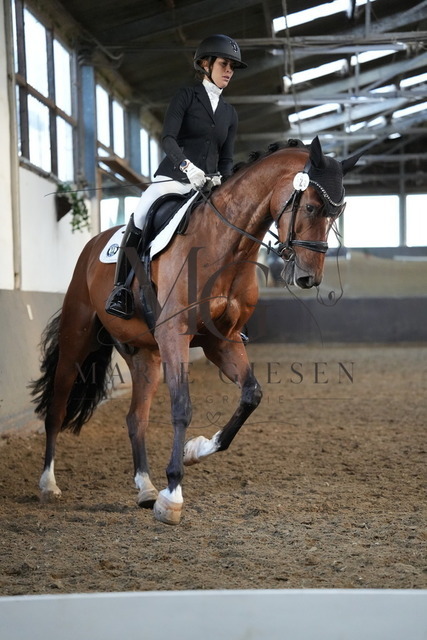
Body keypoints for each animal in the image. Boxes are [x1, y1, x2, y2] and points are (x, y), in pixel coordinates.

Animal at [30, 136, 360, 525]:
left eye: (336, 214)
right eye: (310, 206)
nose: (310, 277)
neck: (225, 245)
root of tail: (94, 242)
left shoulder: (223, 341)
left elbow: (251, 394)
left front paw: (195, 450)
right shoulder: (176, 337)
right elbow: (182, 407)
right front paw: (173, 494)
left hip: (145, 355)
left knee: (135, 418)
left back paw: (145, 487)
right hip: (76, 338)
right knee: (57, 407)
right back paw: (49, 484)